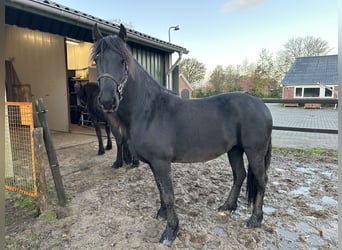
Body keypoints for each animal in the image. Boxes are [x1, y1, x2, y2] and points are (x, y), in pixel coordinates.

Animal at [91, 24, 272, 245]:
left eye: (123, 61)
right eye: (96, 59)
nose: (108, 101)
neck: (148, 110)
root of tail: (262, 105)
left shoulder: (161, 162)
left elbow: (169, 195)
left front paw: (171, 230)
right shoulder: (154, 163)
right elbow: (160, 189)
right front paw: (161, 214)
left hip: (254, 152)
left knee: (261, 180)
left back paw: (255, 219)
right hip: (235, 150)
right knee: (240, 175)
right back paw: (227, 207)